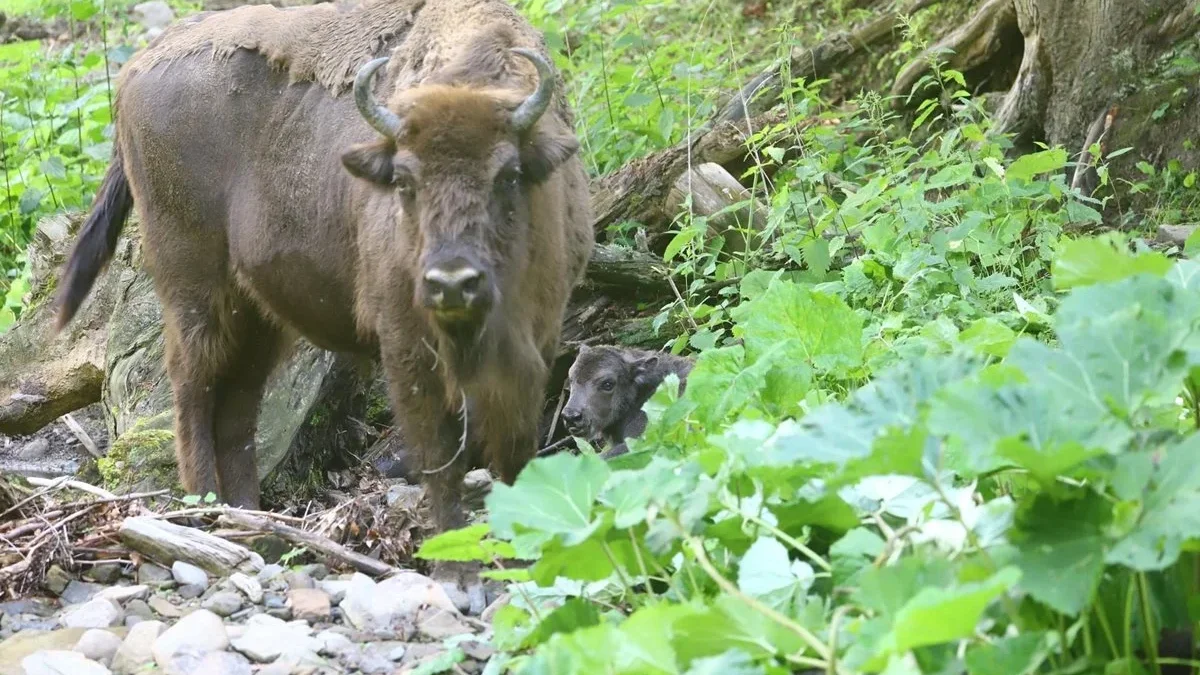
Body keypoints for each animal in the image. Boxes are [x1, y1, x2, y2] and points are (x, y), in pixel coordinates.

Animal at [52, 0, 595, 564]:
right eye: (404, 181)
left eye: (508, 174)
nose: (451, 282)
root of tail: (137, 69)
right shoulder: (405, 343)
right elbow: (439, 456)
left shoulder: (535, 342)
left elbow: (514, 448)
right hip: (194, 286)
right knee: (192, 385)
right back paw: (206, 508)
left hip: (257, 315)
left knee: (237, 405)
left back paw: (251, 518)